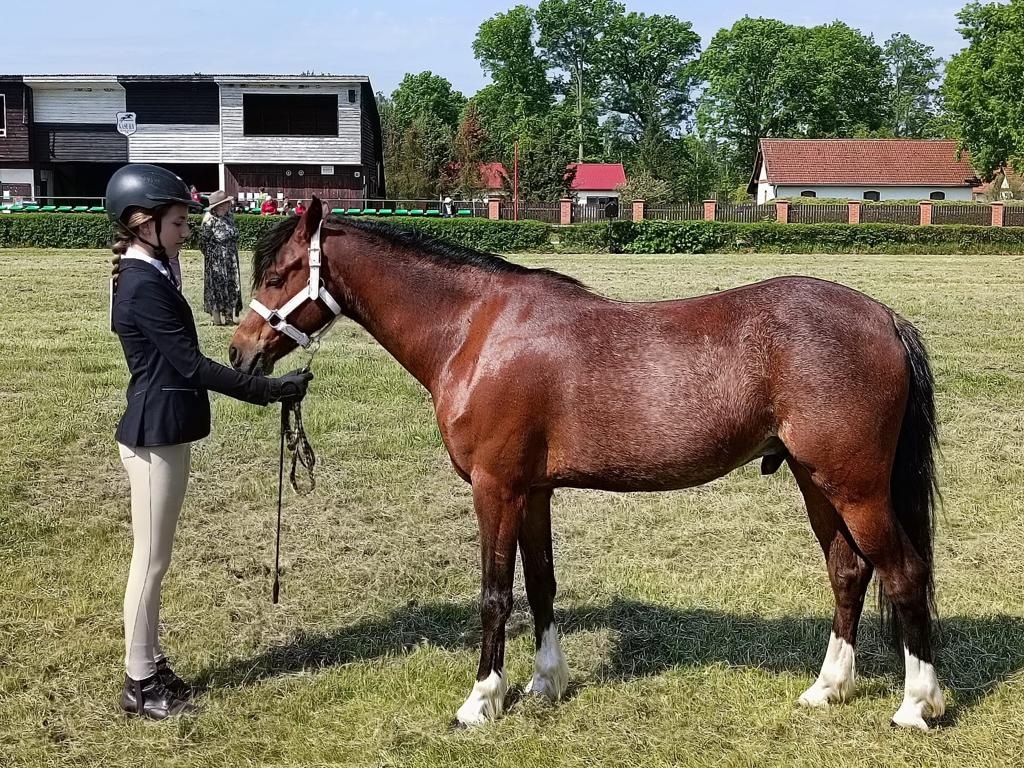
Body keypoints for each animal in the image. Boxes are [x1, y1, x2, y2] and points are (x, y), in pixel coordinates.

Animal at [228, 197, 945, 731]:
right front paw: (545, 683)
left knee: (904, 573)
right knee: (849, 572)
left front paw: (480, 701)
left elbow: (496, 593)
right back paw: (828, 688)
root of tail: (884, 317)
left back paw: (916, 705)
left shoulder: (495, 489)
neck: (476, 329)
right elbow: (541, 585)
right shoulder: (533, 492)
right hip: (816, 481)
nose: (239, 354)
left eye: (276, 275)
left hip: (855, 488)